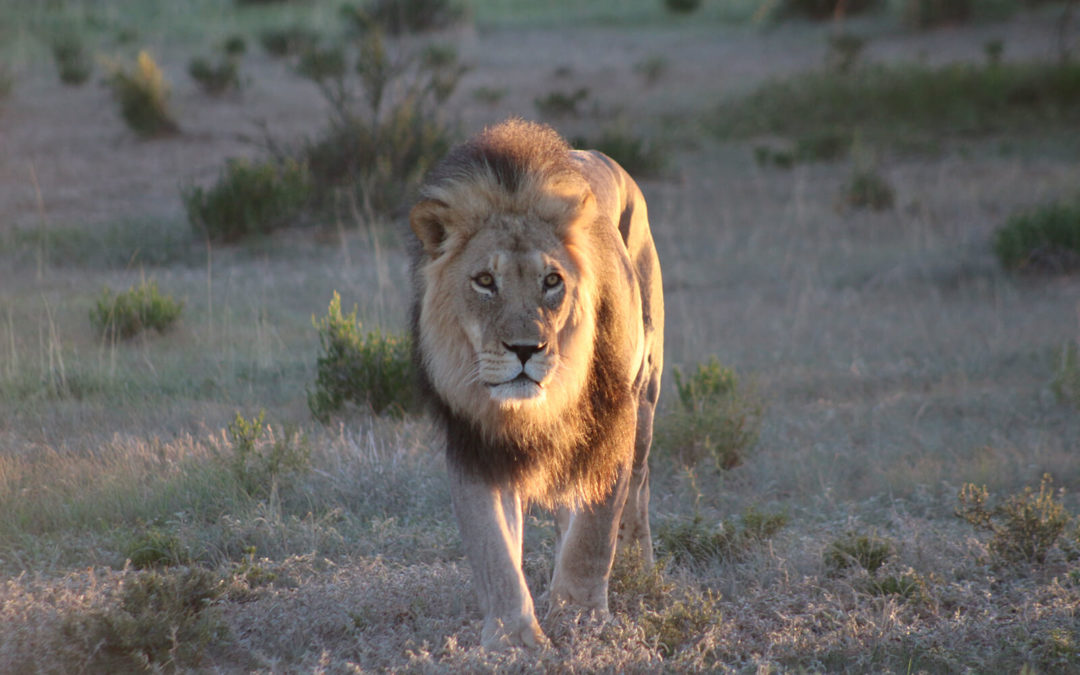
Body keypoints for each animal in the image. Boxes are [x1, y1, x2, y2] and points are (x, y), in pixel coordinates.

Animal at [408, 119, 663, 649]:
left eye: (552, 281)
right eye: (485, 281)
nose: (525, 350)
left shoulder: (615, 414)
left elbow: (597, 527)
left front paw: (581, 617)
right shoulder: (473, 438)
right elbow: (492, 547)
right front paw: (514, 639)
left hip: (646, 396)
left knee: (638, 487)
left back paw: (639, 568)